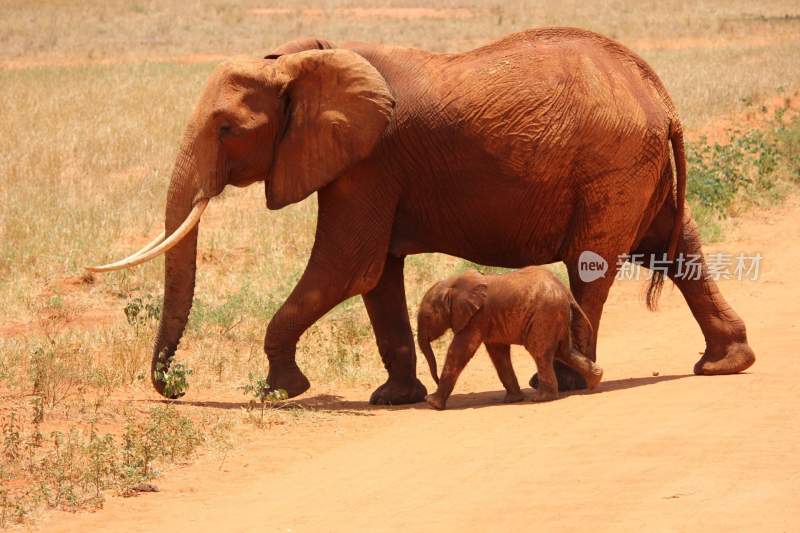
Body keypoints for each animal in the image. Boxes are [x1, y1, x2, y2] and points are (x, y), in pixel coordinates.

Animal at [418, 268, 600, 410]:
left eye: (427, 317)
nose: (435, 380)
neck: (453, 284)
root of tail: (566, 292)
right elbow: (498, 354)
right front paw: (513, 400)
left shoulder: (477, 317)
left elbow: (460, 351)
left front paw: (432, 404)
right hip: (557, 315)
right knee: (564, 351)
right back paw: (595, 381)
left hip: (545, 315)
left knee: (540, 352)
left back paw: (541, 399)